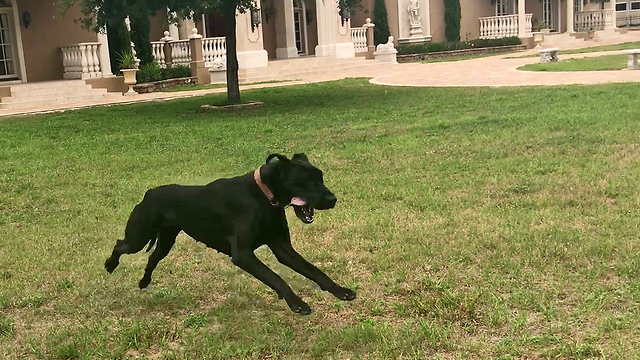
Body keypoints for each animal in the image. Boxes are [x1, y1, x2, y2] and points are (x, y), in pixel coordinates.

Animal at [105, 153, 356, 314]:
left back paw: (144, 281)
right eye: (307, 182)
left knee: (152, 258)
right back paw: (110, 264)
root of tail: (149, 193)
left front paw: (339, 291)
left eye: (321, 177)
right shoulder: (243, 254)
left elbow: (314, 271)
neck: (263, 195)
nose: (333, 199)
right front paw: (296, 303)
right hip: (138, 237)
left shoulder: (283, 248)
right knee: (119, 244)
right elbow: (276, 278)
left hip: (166, 242)